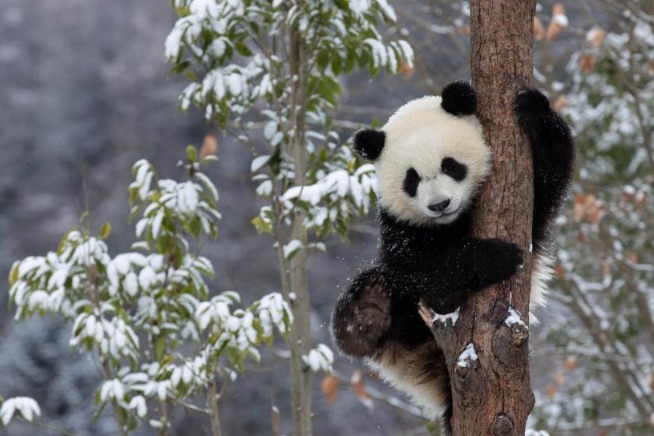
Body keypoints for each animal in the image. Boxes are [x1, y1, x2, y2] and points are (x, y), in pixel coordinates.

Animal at [331, 80, 574, 432]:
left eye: (450, 165)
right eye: (412, 179)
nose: (439, 204)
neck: (452, 223)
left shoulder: (531, 205)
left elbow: (548, 178)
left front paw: (532, 108)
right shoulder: (399, 226)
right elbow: (419, 263)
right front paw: (499, 256)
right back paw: (366, 311)